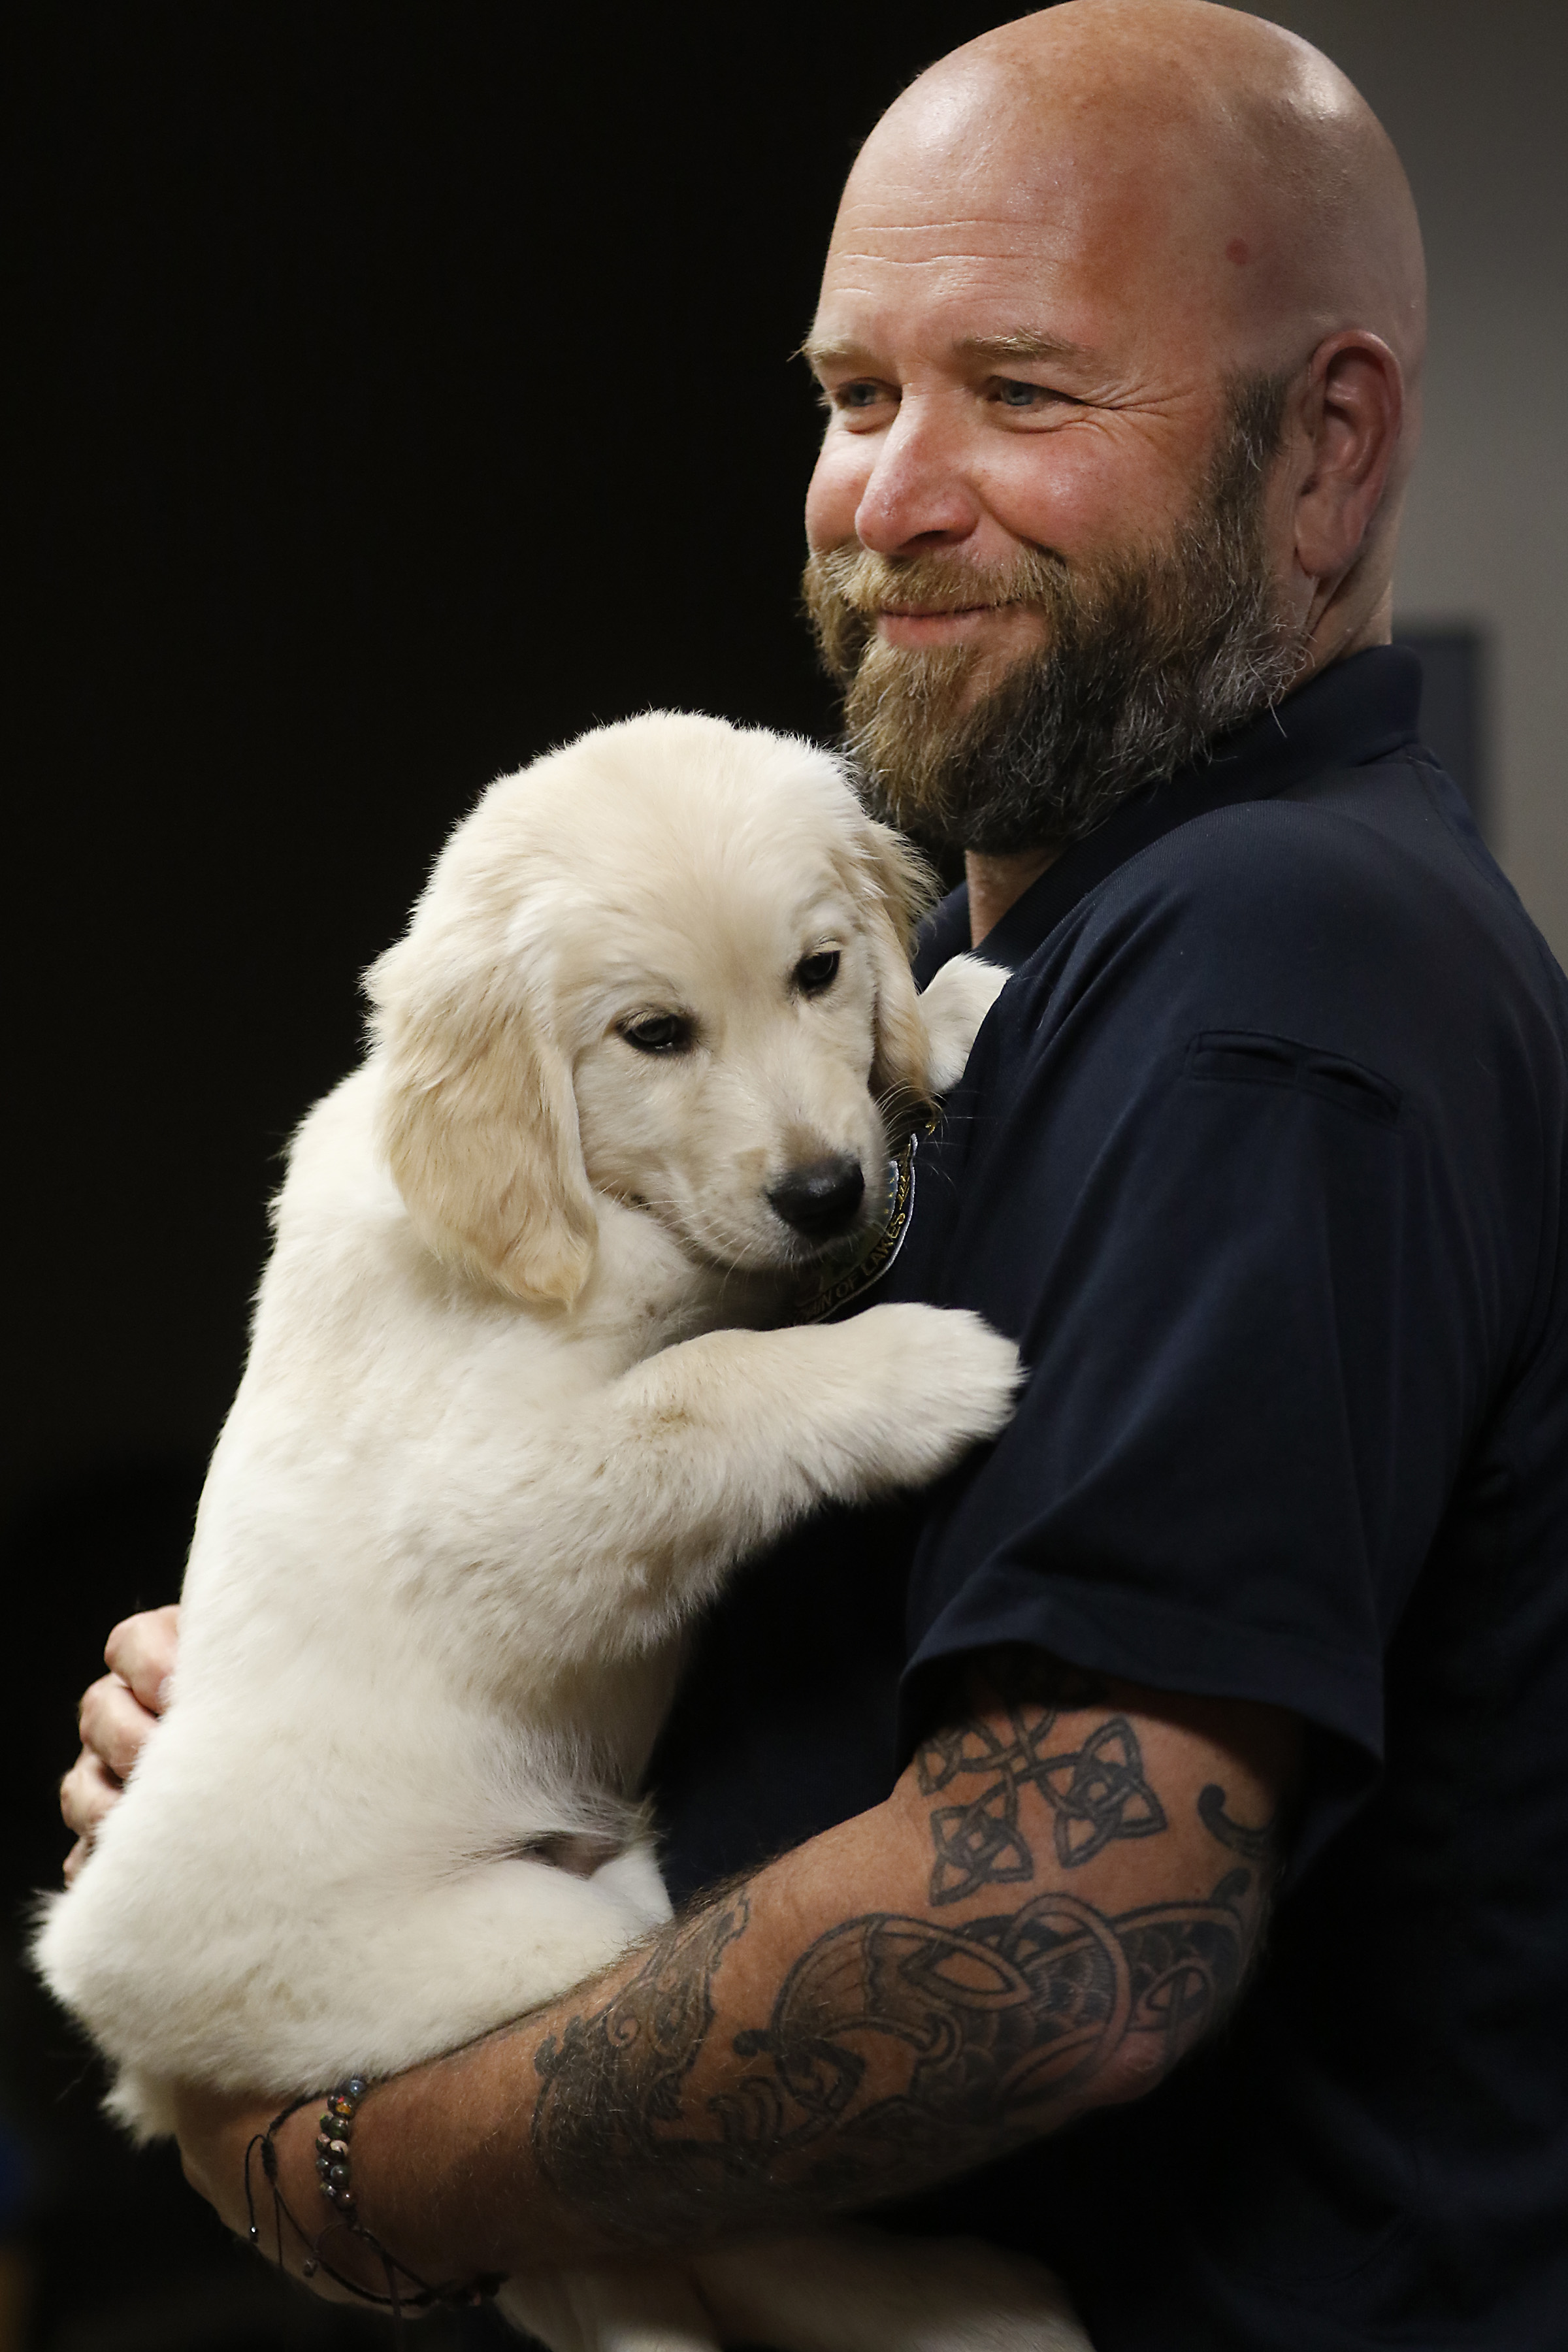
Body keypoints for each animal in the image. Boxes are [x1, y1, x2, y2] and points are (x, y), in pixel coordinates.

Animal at [37, 710, 1090, 2352]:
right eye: (652, 1036)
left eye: (818, 970)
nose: (826, 1191)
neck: (585, 1192)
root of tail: (124, 2030)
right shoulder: (495, 1496)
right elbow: (704, 1389)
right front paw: (915, 1372)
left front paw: (955, 1003)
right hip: (519, 1960)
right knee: (676, 2215)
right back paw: (966, 2299)